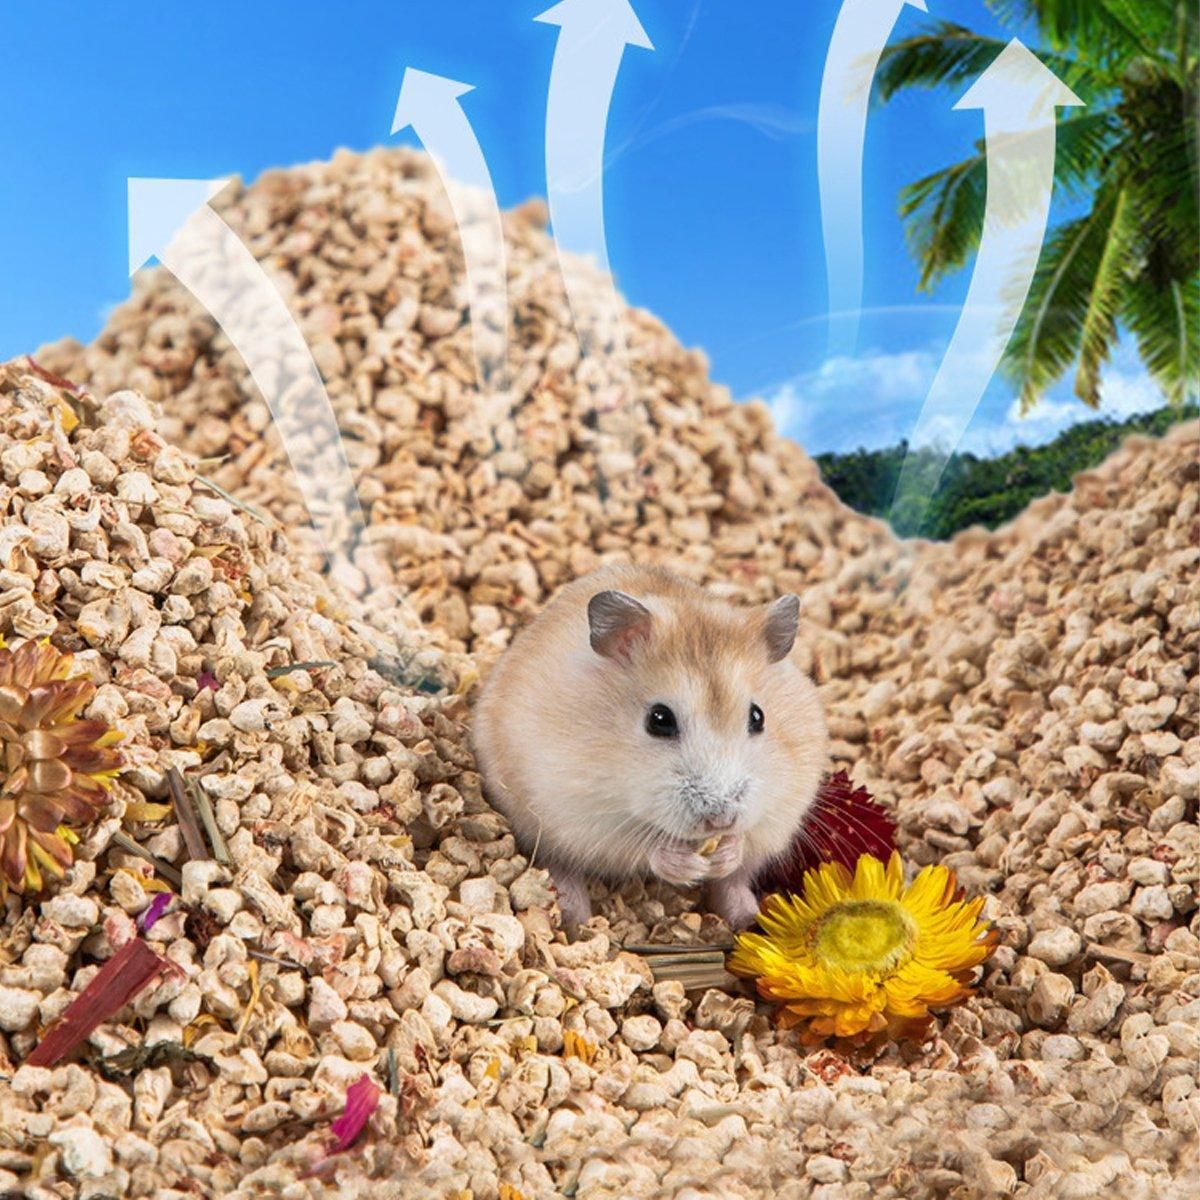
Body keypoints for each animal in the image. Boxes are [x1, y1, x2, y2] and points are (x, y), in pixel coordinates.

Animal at [472, 564, 829, 930]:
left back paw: (747, 915)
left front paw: (725, 854)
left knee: (733, 882)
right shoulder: (582, 812)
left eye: (758, 717)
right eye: (659, 719)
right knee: (560, 863)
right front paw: (688, 865)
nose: (721, 820)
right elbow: (643, 849)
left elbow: (746, 843)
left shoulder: (783, 808)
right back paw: (575, 916)